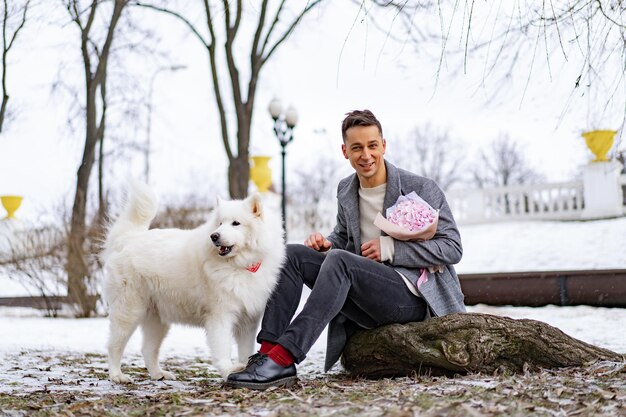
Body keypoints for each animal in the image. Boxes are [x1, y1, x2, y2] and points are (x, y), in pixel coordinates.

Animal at [100, 180, 286, 382]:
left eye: (236, 223)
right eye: (220, 223)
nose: (214, 236)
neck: (240, 266)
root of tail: (128, 238)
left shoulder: (248, 321)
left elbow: (245, 351)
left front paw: (245, 370)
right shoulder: (220, 316)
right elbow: (223, 348)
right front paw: (228, 370)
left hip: (157, 319)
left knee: (148, 349)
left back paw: (159, 374)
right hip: (129, 312)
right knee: (114, 346)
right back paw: (117, 375)